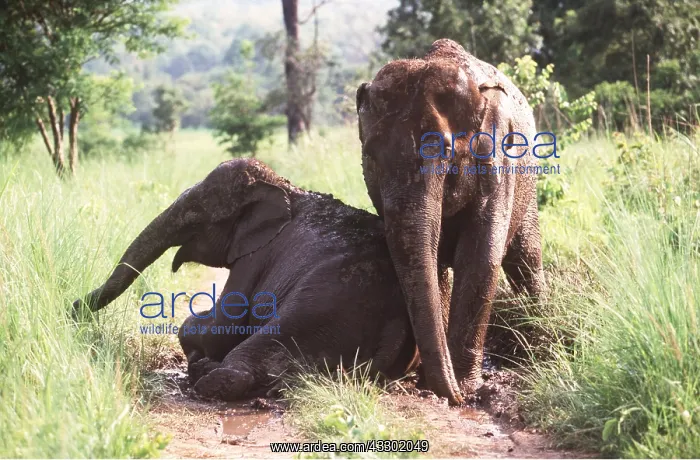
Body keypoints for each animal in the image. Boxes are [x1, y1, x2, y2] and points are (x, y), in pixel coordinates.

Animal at [73, 158, 420, 401]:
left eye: (195, 217)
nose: (74, 306)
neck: (284, 187)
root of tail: (397, 321)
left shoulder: (253, 257)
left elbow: (221, 327)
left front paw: (195, 340)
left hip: (325, 305)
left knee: (250, 354)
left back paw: (206, 373)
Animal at [355, 39, 545, 405]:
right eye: (370, 155)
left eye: (443, 151)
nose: (454, 397)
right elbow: (428, 261)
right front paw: (436, 384)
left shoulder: (498, 159)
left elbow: (480, 257)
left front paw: (466, 388)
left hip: (528, 189)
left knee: (526, 260)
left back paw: (542, 338)